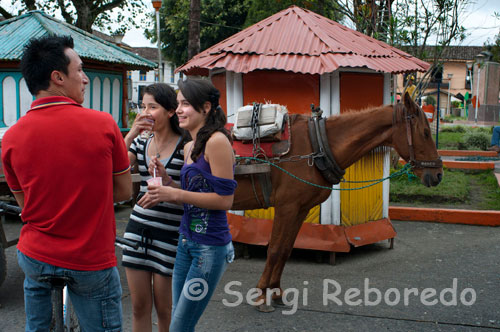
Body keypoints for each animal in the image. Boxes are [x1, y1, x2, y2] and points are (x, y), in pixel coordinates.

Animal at [229, 92, 442, 312]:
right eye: (426, 133)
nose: (438, 174)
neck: (318, 145)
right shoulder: (286, 207)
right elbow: (274, 250)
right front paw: (262, 295)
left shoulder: (300, 209)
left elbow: (285, 250)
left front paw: (276, 292)